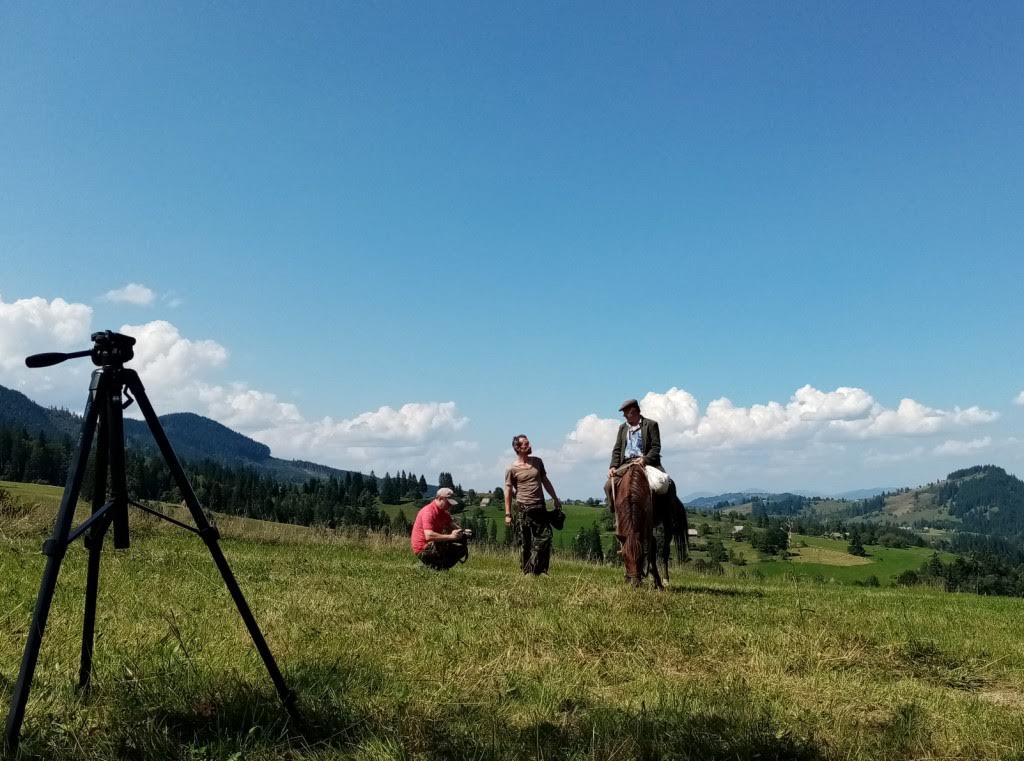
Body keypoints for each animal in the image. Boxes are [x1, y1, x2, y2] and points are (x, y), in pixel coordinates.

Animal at [614, 460, 663, 594]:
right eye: (624, 557)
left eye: (641, 557)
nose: (635, 583)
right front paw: (626, 578)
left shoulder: (648, 529)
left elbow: (651, 553)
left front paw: (658, 583)